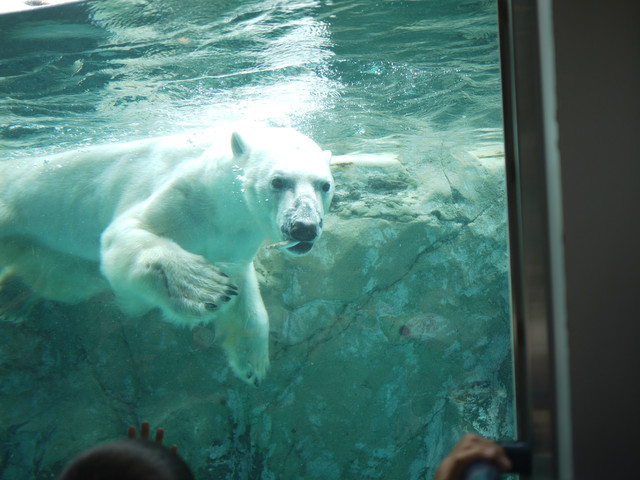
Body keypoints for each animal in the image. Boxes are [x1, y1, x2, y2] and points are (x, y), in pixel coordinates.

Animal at [1, 125, 336, 384]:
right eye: (278, 181)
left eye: (325, 185)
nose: (305, 227)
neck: (223, 205)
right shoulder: (184, 196)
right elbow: (124, 234)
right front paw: (199, 286)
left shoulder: (238, 237)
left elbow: (243, 288)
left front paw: (252, 363)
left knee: (63, 279)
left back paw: (13, 300)